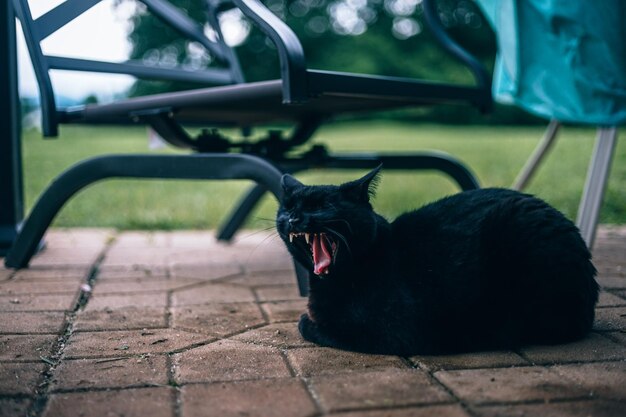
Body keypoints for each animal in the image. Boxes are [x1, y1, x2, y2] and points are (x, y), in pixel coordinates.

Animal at [276, 166, 596, 354]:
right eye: (288, 207)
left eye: (323, 205)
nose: (294, 218)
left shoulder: (394, 333)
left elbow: (311, 326)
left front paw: (306, 321)